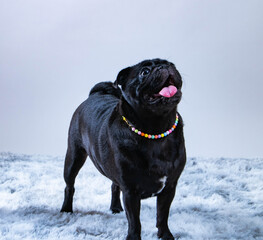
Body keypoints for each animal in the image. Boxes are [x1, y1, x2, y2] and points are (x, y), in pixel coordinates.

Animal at [60, 58, 187, 240]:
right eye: (145, 72)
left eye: (172, 65)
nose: (164, 67)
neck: (156, 129)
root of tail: (96, 94)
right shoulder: (131, 191)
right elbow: (135, 222)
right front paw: (134, 238)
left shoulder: (169, 188)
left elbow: (162, 216)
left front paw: (165, 236)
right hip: (74, 157)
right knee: (69, 186)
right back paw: (66, 210)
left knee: (114, 186)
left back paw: (115, 208)